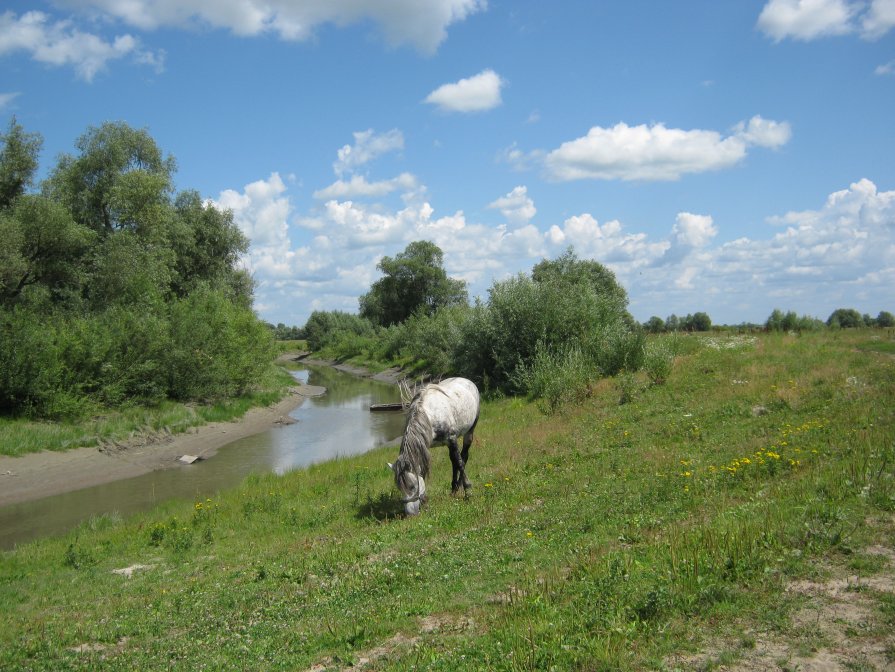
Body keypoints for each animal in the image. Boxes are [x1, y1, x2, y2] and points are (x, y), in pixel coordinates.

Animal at [386, 378, 480, 516]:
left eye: (412, 486)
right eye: (399, 488)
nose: (410, 514)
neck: (429, 416)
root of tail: (466, 380)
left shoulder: (452, 439)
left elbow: (460, 463)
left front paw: (468, 491)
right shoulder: (424, 446)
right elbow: (423, 469)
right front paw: (424, 501)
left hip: (469, 431)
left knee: (463, 457)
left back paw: (459, 486)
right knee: (453, 461)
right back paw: (454, 489)